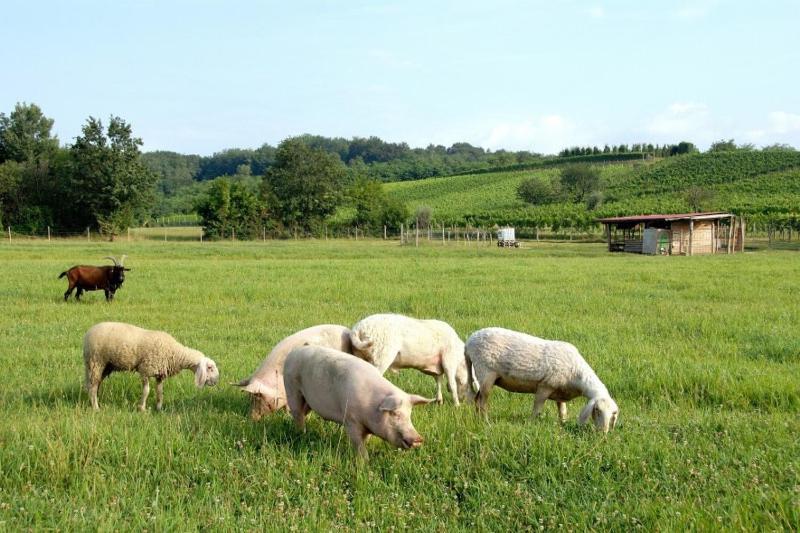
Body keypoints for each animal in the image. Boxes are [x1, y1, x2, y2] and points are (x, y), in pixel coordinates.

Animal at [83, 320, 220, 412]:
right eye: (210, 368)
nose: (216, 381)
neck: (175, 352)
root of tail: (88, 333)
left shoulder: (160, 374)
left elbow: (160, 392)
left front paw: (159, 408)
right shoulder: (145, 370)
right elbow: (146, 391)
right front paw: (142, 408)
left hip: (105, 366)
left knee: (95, 384)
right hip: (95, 361)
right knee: (93, 386)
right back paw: (96, 407)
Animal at [282, 342, 432, 460]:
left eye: (409, 415)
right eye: (394, 414)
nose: (419, 439)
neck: (371, 408)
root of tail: (293, 352)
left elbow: (366, 439)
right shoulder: (351, 420)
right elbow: (359, 444)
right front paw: (365, 464)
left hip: (308, 400)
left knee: (304, 413)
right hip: (291, 388)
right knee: (297, 413)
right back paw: (301, 434)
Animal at [462, 324, 620, 432]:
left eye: (614, 414)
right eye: (597, 410)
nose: (603, 433)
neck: (576, 374)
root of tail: (469, 343)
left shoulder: (560, 392)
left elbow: (562, 412)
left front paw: (562, 425)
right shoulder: (545, 386)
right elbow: (537, 409)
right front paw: (531, 424)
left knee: (477, 399)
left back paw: (478, 421)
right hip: (486, 372)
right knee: (482, 402)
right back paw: (486, 423)